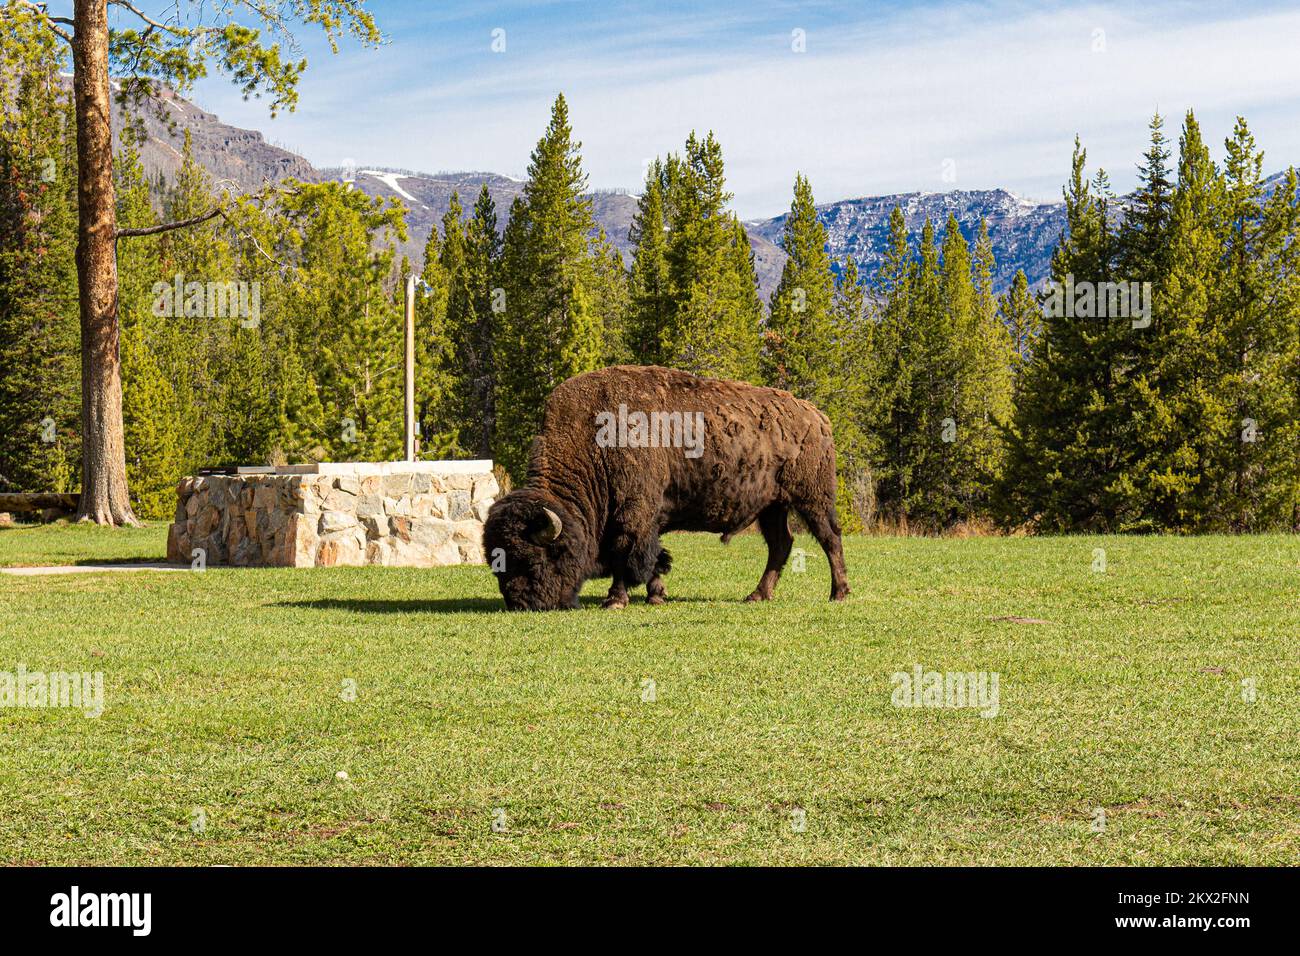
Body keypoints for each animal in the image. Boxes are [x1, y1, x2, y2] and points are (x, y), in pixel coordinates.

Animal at [483, 366, 847, 613]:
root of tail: (817, 417)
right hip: (772, 507)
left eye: (533, 558)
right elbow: (654, 556)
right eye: (497, 560)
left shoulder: (632, 514)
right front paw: (657, 595)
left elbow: (625, 553)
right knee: (780, 545)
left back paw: (839, 593)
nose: (520, 602)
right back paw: (757, 595)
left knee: (829, 538)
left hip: (811, 498)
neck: (593, 442)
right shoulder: (649, 519)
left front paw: (615, 600)